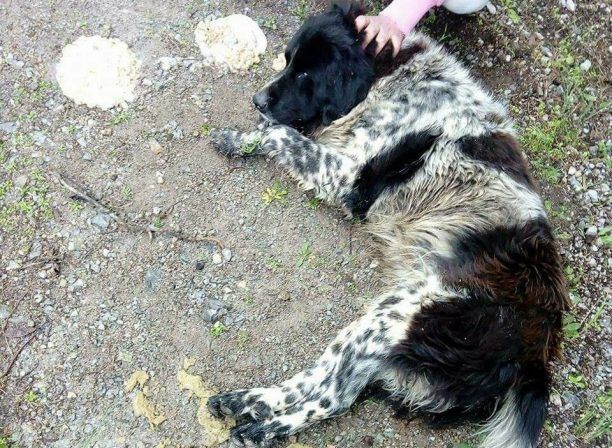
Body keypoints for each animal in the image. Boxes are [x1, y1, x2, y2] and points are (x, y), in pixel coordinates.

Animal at [207, 3, 569, 447]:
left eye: (308, 75)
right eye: (288, 60)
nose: (256, 100)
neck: (388, 78)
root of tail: (536, 353)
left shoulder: (350, 181)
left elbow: (282, 134)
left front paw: (241, 138)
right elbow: (281, 130)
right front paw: (241, 134)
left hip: (394, 316)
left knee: (331, 393)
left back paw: (258, 417)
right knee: (339, 385)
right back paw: (249, 406)